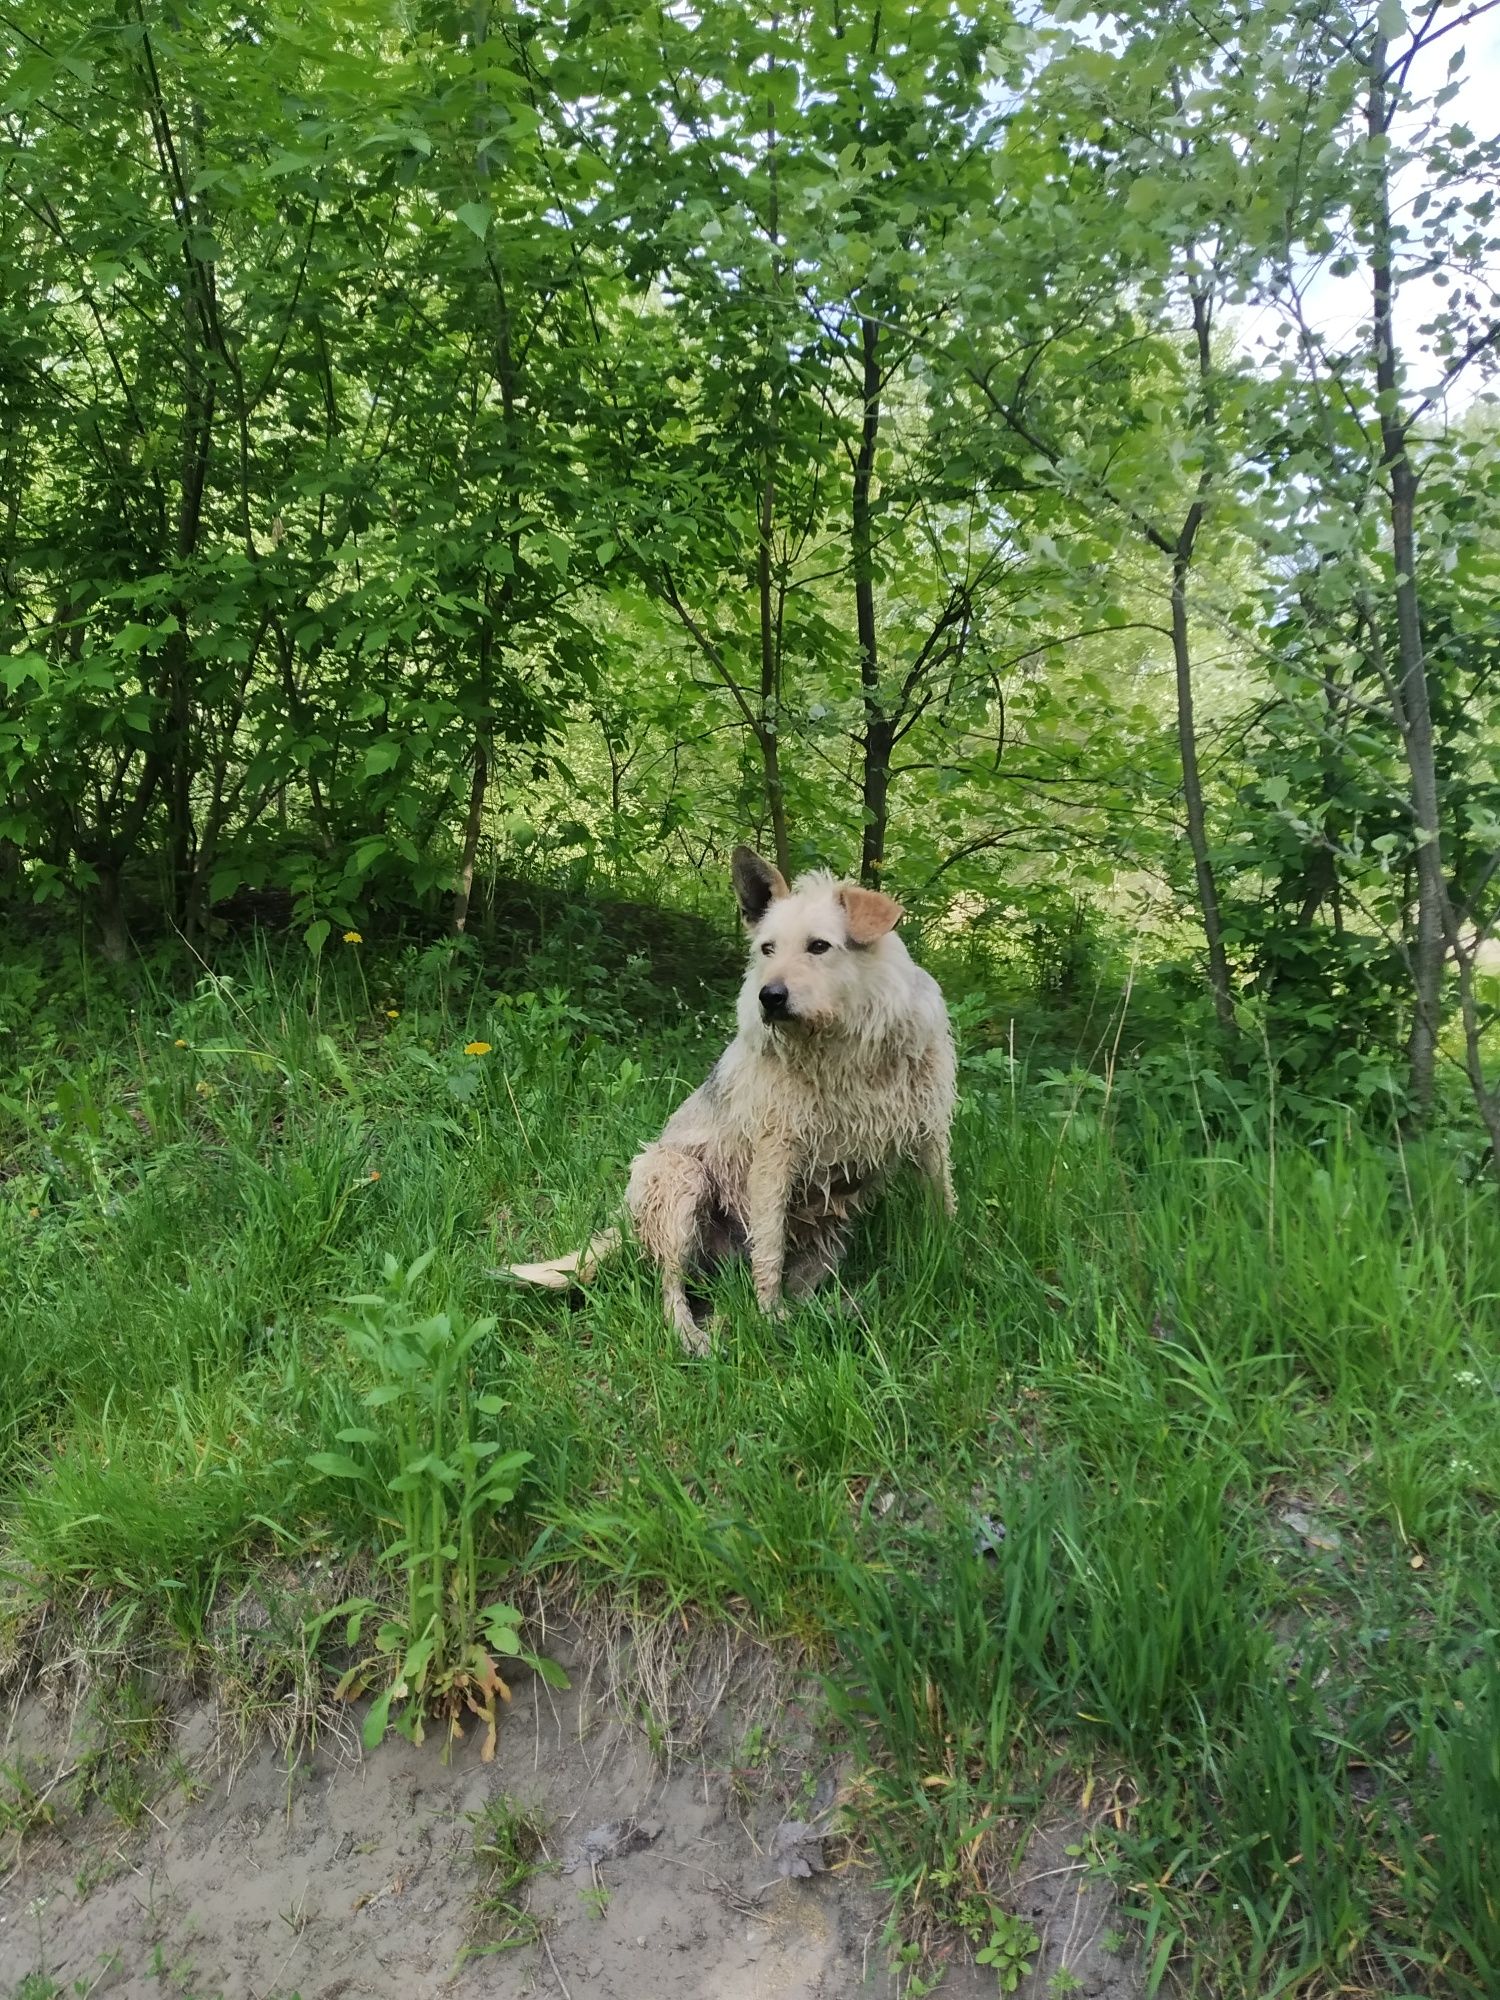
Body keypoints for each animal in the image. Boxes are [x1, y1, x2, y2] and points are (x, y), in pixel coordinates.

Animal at [512, 844, 956, 1344]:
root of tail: (628, 1223)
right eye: (767, 948)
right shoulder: (775, 1154)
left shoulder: (930, 1132)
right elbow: (769, 1251)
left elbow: (943, 1203)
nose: (770, 996)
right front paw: (767, 1314)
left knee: (792, 1288)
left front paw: (951, 1256)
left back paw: (824, 1313)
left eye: (819, 946)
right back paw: (696, 1335)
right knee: (671, 1284)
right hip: (680, 1180)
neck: (846, 1047)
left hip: (833, 1228)